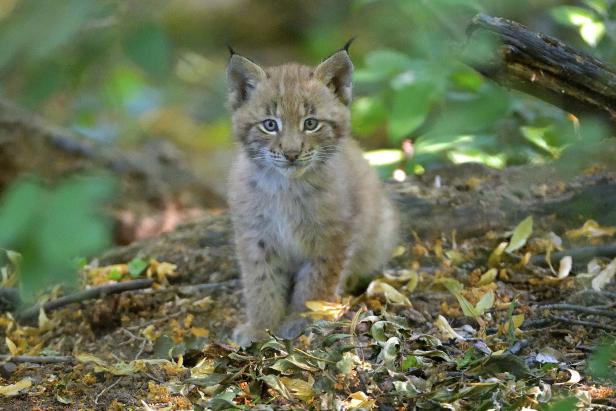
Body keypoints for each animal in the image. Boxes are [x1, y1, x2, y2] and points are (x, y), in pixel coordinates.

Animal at [227, 44, 400, 348]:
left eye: (310, 123)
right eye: (270, 125)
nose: (291, 153)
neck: (285, 186)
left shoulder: (333, 235)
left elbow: (316, 282)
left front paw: (303, 319)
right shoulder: (255, 235)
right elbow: (261, 283)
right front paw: (260, 326)